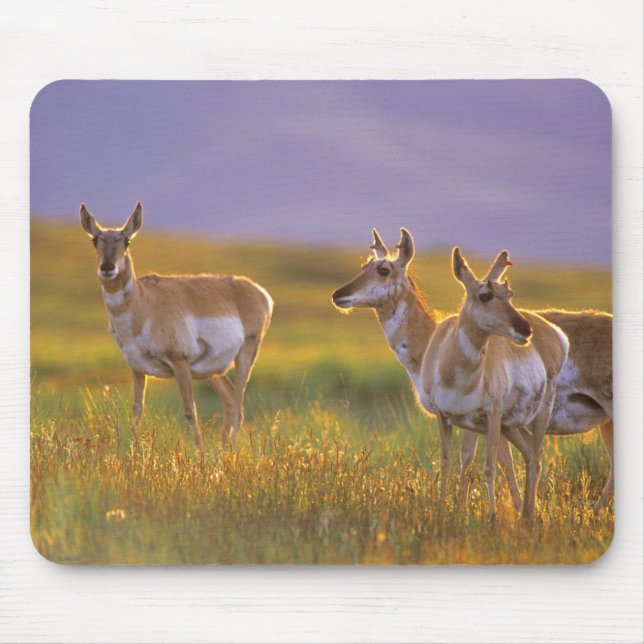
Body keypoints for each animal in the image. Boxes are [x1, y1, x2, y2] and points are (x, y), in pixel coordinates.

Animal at [80, 202, 273, 450]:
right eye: (95, 241)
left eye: (127, 241)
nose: (107, 267)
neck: (144, 304)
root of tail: (258, 290)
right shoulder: (137, 369)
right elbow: (136, 412)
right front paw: (133, 452)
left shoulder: (180, 363)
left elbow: (191, 411)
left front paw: (201, 454)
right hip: (209, 371)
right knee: (231, 399)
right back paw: (224, 449)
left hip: (245, 356)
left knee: (238, 404)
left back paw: (232, 450)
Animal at [332, 229, 569, 519]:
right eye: (364, 266)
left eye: (383, 269)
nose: (338, 294)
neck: (432, 341)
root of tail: (555, 333)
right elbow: (492, 461)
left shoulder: (481, 418)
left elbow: (470, 459)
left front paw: (467, 511)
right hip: (514, 424)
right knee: (528, 453)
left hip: (540, 413)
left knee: (536, 454)